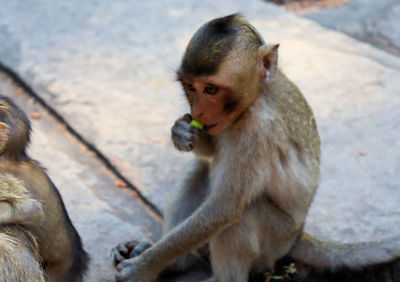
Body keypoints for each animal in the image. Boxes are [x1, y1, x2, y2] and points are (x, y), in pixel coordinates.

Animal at [111, 13, 400, 282]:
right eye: (191, 87)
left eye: (211, 89)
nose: (198, 112)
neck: (257, 97)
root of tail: (298, 234)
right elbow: (210, 152)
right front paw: (180, 132)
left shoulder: (258, 131)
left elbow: (224, 208)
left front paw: (144, 267)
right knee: (198, 169)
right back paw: (175, 265)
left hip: (276, 239)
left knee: (243, 214)